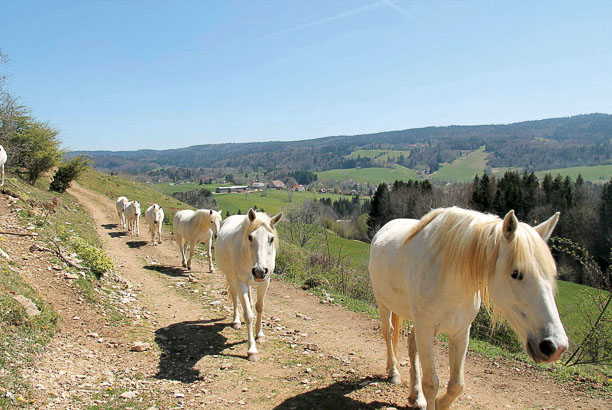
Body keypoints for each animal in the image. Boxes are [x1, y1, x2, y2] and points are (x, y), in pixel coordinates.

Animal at [215, 208, 282, 362]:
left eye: (271, 239)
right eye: (250, 237)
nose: (259, 271)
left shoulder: (265, 282)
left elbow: (259, 307)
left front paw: (260, 335)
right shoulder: (241, 283)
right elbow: (248, 314)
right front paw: (252, 350)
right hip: (231, 278)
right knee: (234, 296)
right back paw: (236, 321)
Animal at [370, 208, 572, 410]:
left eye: (552, 275)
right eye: (516, 273)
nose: (555, 346)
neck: (448, 279)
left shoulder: (460, 332)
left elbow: (456, 385)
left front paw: (439, 402)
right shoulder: (426, 329)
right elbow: (432, 383)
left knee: (412, 344)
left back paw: (416, 396)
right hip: (385, 304)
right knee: (389, 332)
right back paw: (393, 373)